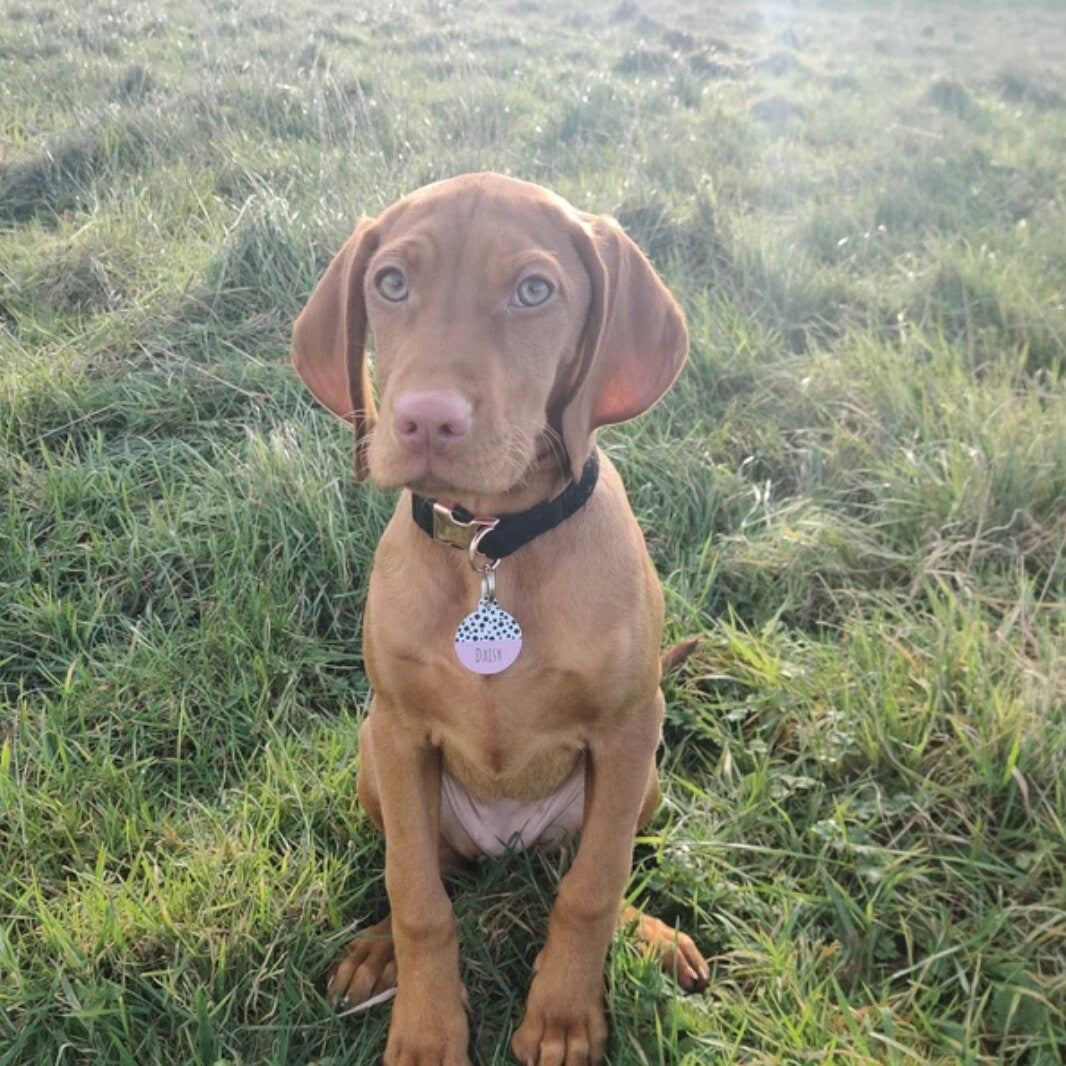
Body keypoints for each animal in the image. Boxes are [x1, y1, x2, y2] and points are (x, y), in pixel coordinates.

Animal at [292, 172, 707, 1066]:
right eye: (391, 284)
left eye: (534, 292)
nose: (425, 419)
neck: (490, 546)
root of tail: (507, 843)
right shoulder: (398, 729)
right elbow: (417, 894)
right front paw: (424, 1030)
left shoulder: (630, 727)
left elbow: (594, 886)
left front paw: (563, 1017)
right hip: (372, 763)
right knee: (429, 866)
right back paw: (374, 949)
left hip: (644, 777)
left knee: (595, 861)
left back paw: (647, 933)